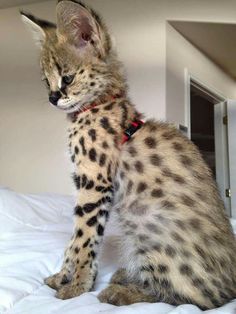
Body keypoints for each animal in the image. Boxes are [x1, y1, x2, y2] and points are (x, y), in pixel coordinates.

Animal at [21, 0, 235, 310]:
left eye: (67, 78)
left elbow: (83, 238)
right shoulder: (86, 184)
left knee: (195, 297)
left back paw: (121, 291)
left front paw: (76, 286)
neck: (99, 104)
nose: (52, 98)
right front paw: (63, 277)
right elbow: (72, 241)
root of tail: (232, 282)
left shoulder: (94, 182)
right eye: (45, 82)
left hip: (150, 230)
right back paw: (125, 277)